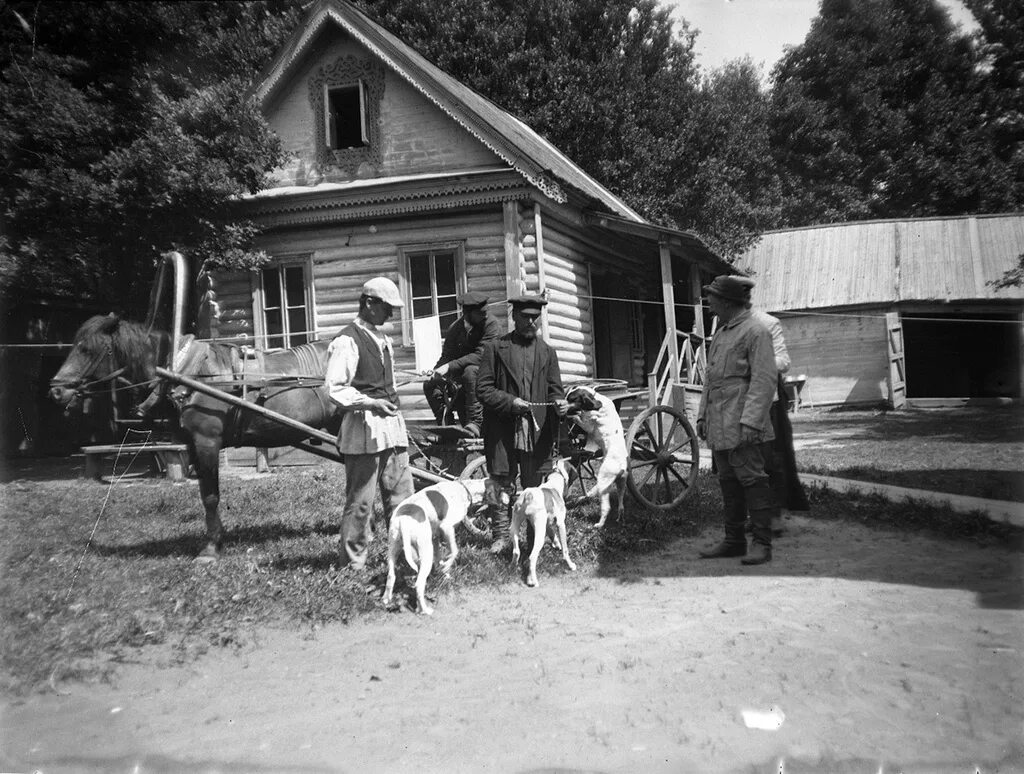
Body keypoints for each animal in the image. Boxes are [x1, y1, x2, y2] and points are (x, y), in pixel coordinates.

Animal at [51, 311, 342, 561]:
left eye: (87, 349)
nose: (56, 390)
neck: (189, 375)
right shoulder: (193, 444)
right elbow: (204, 493)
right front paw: (215, 541)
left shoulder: (207, 442)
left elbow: (211, 496)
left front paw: (211, 548)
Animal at [380, 477, 487, 618]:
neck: (464, 489)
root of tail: (404, 521)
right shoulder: (447, 528)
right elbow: (454, 551)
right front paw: (447, 567)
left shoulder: (435, 536)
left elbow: (439, 558)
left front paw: (444, 574)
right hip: (425, 552)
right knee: (418, 584)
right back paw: (424, 610)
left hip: (394, 549)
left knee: (391, 576)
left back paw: (386, 600)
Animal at [509, 452, 577, 585]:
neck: (553, 484)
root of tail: (528, 495)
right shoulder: (561, 524)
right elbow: (565, 550)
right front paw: (570, 565)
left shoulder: (547, 523)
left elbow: (553, 534)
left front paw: (557, 544)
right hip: (539, 533)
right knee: (532, 556)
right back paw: (533, 581)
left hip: (514, 526)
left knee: (516, 552)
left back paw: (512, 568)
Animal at [565, 384, 626, 528]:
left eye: (571, 399)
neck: (597, 399)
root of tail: (621, 466)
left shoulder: (588, 424)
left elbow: (579, 417)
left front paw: (573, 416)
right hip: (621, 485)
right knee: (621, 505)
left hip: (603, 485)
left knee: (606, 508)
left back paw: (599, 524)